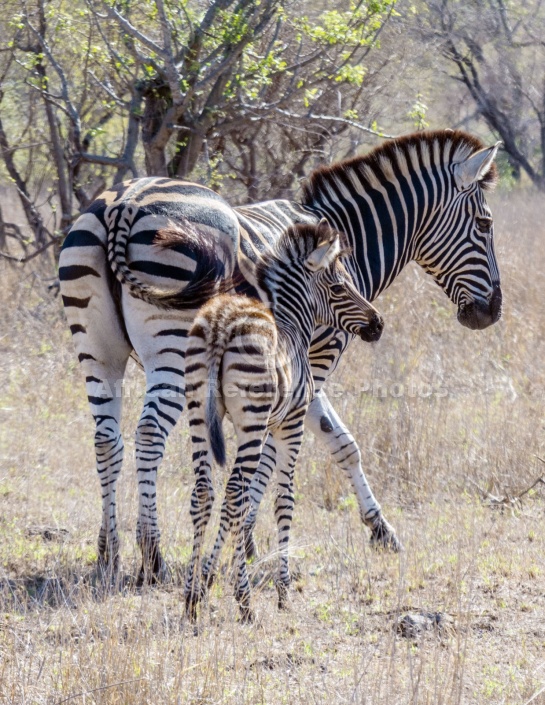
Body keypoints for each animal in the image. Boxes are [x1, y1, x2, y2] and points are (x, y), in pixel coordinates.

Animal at [59, 129, 502, 580]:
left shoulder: (297, 364)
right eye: (485, 225)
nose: (491, 312)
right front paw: (250, 543)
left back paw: (108, 552)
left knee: (106, 439)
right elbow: (278, 451)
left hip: (97, 349)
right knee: (149, 433)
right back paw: (152, 557)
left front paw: (381, 530)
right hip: (172, 344)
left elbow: (343, 443)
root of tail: (124, 203)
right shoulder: (315, 357)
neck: (348, 238)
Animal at [178, 221, 382, 620]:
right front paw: (282, 590)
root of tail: (220, 322)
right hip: (252, 420)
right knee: (234, 494)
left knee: (205, 493)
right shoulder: (291, 422)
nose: (378, 324)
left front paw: (207, 580)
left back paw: (191, 600)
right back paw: (244, 602)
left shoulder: (269, 424)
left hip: (197, 413)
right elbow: (283, 499)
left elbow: (253, 500)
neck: (292, 322)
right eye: (340, 287)